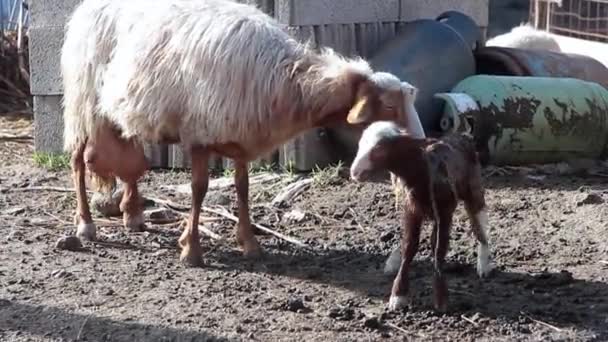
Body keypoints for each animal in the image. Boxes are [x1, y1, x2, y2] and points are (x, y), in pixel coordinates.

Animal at [63, 0, 422, 266]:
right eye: (390, 106)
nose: (419, 140)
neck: (290, 82)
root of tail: (87, 7)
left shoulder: (240, 138)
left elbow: (243, 189)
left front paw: (249, 243)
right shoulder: (200, 134)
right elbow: (199, 189)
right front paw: (191, 249)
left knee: (131, 162)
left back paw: (133, 215)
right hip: (83, 99)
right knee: (79, 163)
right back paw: (86, 225)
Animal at [350, 121, 492, 312]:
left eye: (379, 149)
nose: (354, 172)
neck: (419, 170)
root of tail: (462, 135)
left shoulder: (444, 210)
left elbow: (439, 248)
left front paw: (441, 298)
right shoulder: (411, 210)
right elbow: (410, 246)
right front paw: (398, 295)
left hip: (472, 189)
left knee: (478, 221)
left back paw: (483, 263)